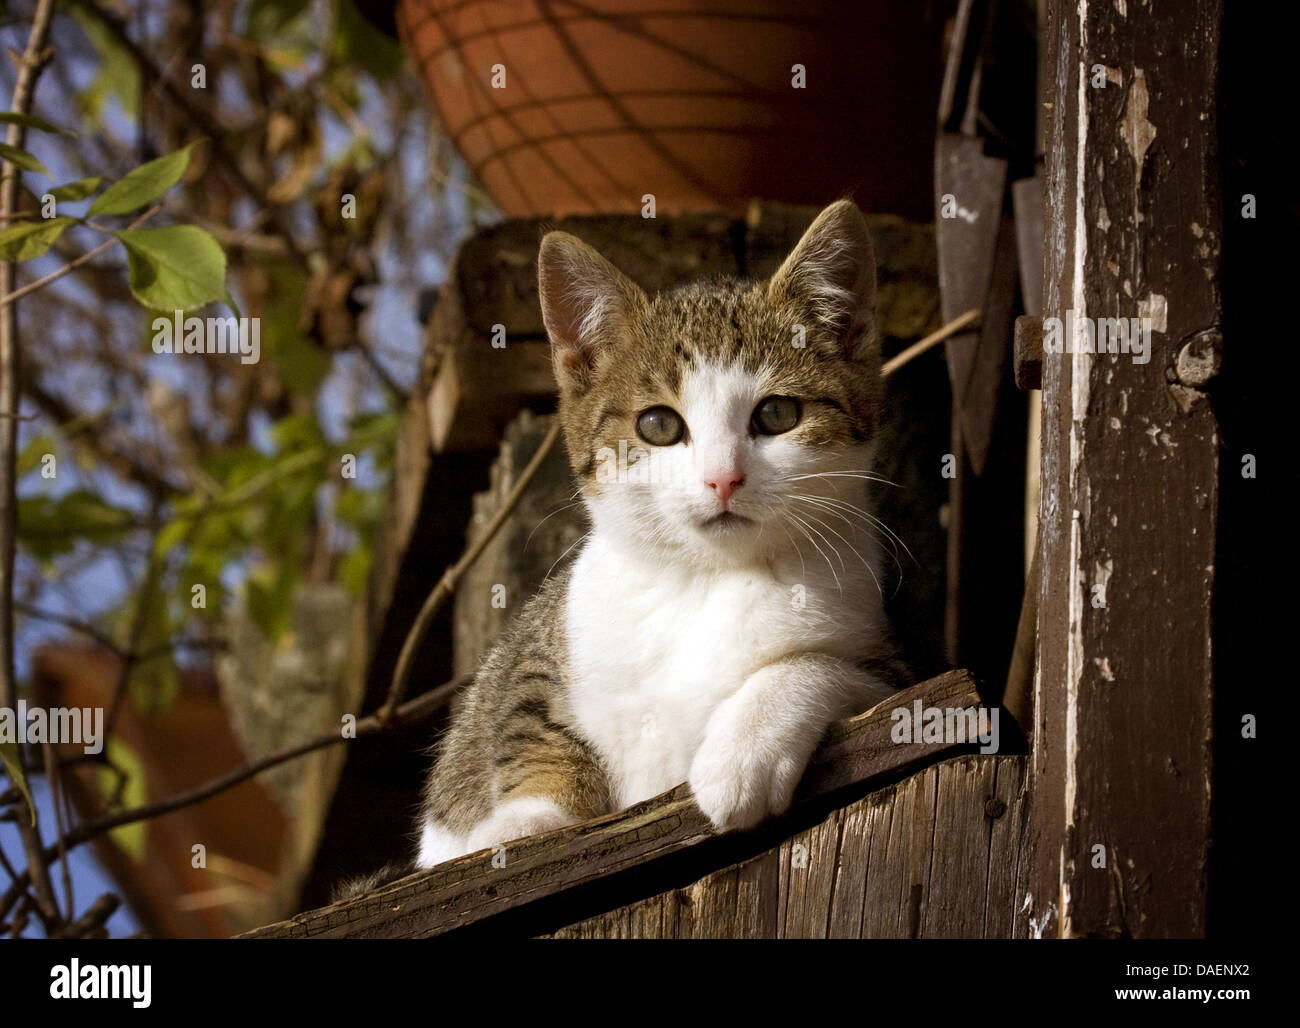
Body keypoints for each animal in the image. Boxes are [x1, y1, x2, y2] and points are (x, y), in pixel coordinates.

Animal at [405, 197, 904, 873]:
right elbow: (528, 717)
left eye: (777, 414)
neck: (703, 580)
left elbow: (830, 667)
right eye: (659, 425)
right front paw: (522, 823)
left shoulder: (893, 667)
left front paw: (744, 749)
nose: (723, 478)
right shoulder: (548, 642)